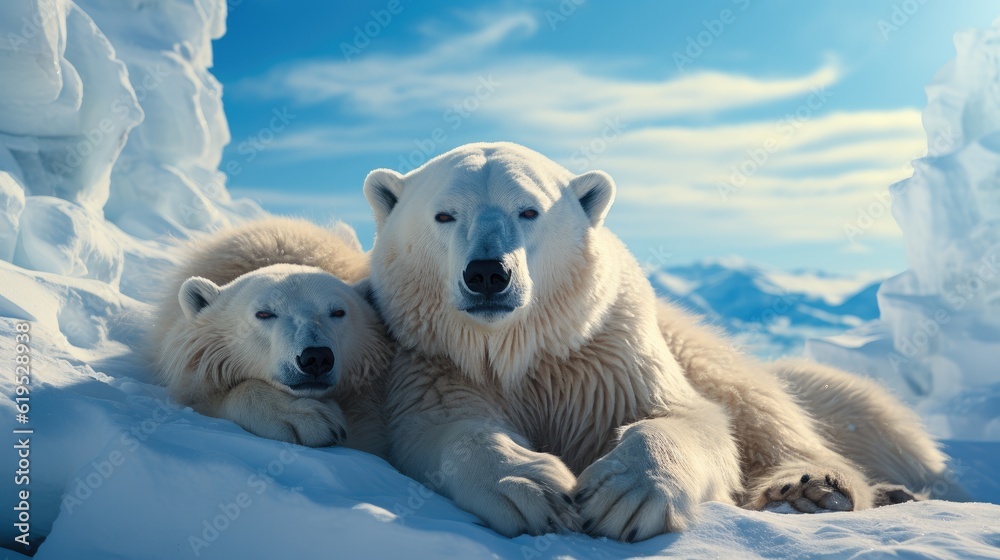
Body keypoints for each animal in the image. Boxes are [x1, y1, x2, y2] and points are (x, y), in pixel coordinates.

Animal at [364, 143, 948, 544]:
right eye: (444, 214)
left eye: (529, 210)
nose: (488, 273)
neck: (519, 349)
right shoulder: (437, 362)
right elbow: (442, 428)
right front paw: (531, 487)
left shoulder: (606, 355)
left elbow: (686, 415)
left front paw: (625, 493)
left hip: (698, 348)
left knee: (764, 414)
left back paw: (814, 489)